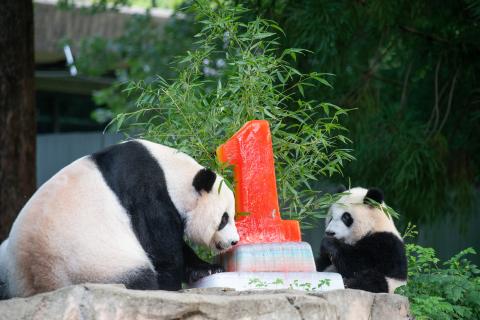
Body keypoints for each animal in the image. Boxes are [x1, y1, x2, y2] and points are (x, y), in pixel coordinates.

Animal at [0, 139, 239, 298]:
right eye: (224, 219)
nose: (234, 241)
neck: (171, 174)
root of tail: (40, 281)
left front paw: (208, 269)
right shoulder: (146, 194)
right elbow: (162, 248)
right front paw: (171, 284)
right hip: (96, 264)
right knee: (136, 274)